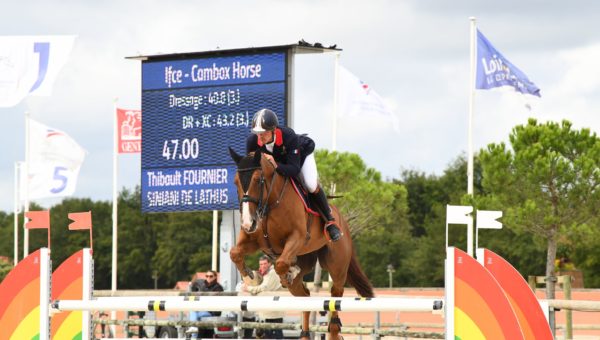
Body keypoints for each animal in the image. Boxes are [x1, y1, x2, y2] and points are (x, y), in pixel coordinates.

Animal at [227, 147, 372, 338]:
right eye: (235, 182)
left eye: (258, 180)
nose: (246, 223)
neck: (270, 203)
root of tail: (342, 221)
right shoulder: (253, 240)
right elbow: (235, 253)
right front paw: (248, 276)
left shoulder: (297, 237)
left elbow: (281, 263)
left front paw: (285, 273)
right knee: (305, 296)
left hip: (337, 264)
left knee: (335, 294)